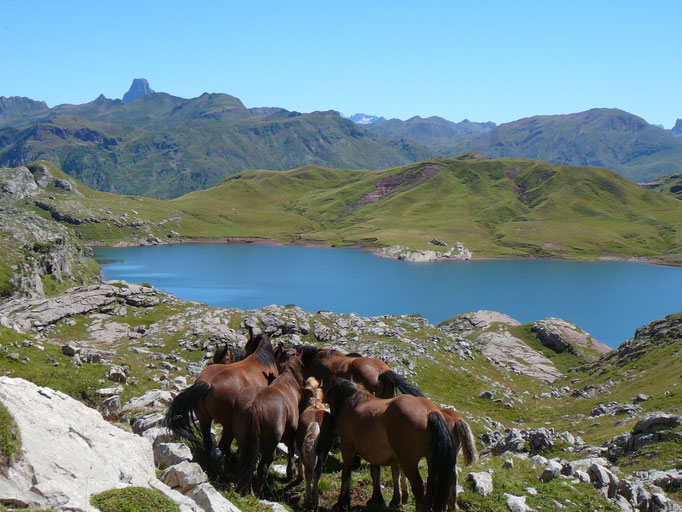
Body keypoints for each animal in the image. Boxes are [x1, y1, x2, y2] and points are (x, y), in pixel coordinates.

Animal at [163, 332, 278, 472]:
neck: (262, 360)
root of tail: (208, 384)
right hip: (229, 425)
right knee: (223, 445)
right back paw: (232, 462)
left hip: (204, 420)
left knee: (208, 443)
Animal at [231, 348, 302, 492]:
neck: (287, 384)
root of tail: (255, 405)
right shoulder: (293, 432)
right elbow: (291, 451)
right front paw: (291, 472)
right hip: (269, 447)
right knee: (262, 468)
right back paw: (258, 492)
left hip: (243, 440)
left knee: (246, 462)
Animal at [294, 376, 334, 512]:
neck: (315, 403)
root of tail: (315, 424)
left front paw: (299, 475)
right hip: (323, 452)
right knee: (317, 472)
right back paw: (315, 499)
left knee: (309, 472)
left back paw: (307, 499)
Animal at [326, 376, 454, 512]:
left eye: (329, 394)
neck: (356, 402)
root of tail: (429, 412)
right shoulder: (376, 454)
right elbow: (379, 474)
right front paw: (379, 499)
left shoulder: (347, 448)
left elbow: (346, 473)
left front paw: (343, 502)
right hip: (430, 459)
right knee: (430, 485)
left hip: (409, 463)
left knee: (418, 487)